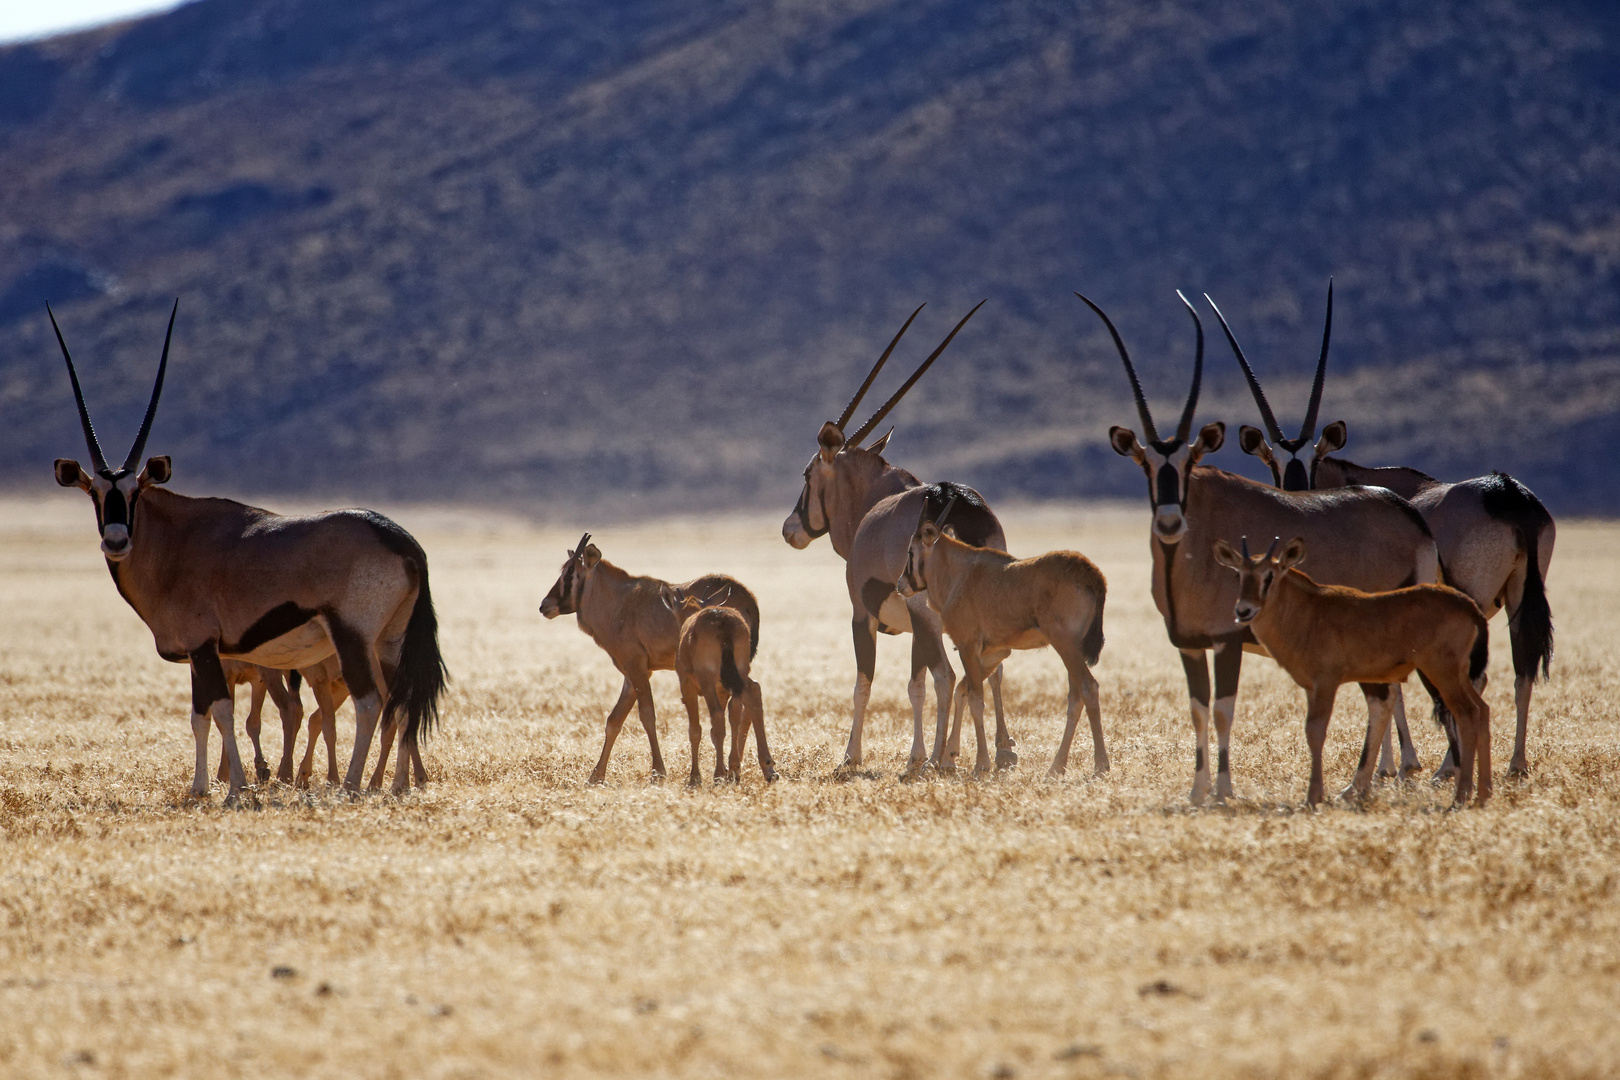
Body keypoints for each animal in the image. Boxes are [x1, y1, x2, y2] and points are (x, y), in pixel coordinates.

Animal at [537, 534, 751, 780]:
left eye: (570, 572)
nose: (544, 606)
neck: (617, 600)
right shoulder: (631, 675)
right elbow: (614, 720)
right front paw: (595, 776)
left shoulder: (637, 668)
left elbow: (648, 716)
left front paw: (658, 771)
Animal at [894, 498, 1108, 777]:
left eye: (911, 551)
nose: (900, 585)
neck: (959, 573)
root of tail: (1090, 573)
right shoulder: (994, 652)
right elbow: (963, 690)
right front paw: (950, 757)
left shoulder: (968, 647)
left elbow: (976, 699)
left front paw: (981, 764)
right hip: (1073, 650)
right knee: (1075, 697)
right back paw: (1056, 767)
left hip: (1066, 646)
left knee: (1088, 688)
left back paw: (1100, 765)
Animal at [1218, 537, 1490, 806]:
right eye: (1238, 574)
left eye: (1269, 575)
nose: (1243, 610)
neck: (1307, 611)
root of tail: (1467, 605)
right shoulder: (1310, 688)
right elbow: (1311, 731)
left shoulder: (1326, 682)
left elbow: (1315, 731)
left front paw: (1313, 797)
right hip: (1457, 674)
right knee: (1482, 709)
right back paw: (1483, 794)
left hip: (1441, 672)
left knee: (1467, 713)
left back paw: (1461, 796)